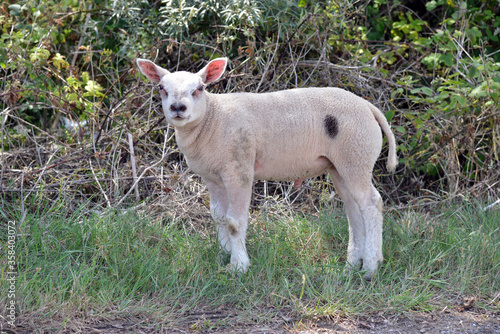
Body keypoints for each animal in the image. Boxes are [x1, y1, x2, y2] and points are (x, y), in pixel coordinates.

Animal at [135, 57, 396, 280]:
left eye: (199, 88)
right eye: (161, 87)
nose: (178, 107)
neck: (213, 119)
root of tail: (369, 107)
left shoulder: (238, 169)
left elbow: (234, 222)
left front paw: (238, 266)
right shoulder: (212, 177)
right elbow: (218, 217)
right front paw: (223, 255)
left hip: (356, 154)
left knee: (372, 203)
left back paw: (370, 268)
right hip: (340, 164)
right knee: (353, 209)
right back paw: (352, 265)